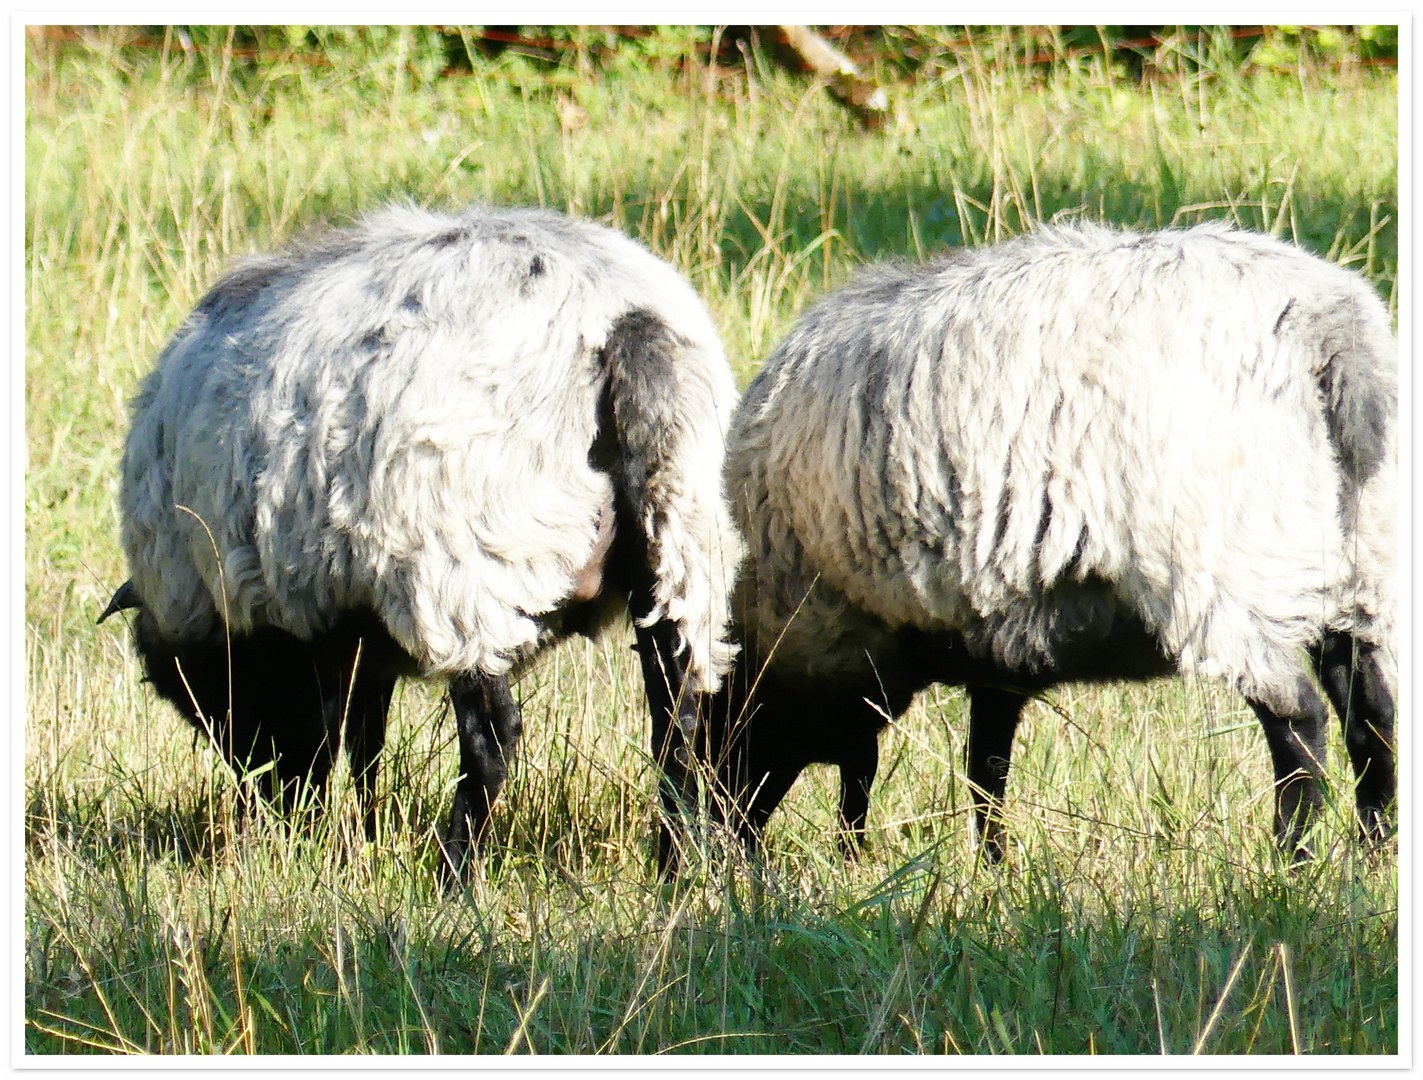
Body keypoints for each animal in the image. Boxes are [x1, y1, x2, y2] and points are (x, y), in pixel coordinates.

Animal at [97, 202, 745, 876]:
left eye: (218, 703)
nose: (280, 802)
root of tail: (620, 319)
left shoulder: (320, 624)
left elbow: (350, 728)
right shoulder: (358, 627)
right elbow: (366, 739)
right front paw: (364, 833)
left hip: (466, 571)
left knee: (494, 736)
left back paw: (455, 871)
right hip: (680, 543)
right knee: (677, 718)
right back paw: (672, 866)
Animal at [705, 219, 1394, 859]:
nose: (703, 854)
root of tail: (1329, 335)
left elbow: (877, 769)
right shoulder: (992, 643)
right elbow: (983, 765)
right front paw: (991, 869)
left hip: (1224, 570)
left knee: (1299, 719)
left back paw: (1292, 861)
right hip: (1354, 565)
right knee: (1372, 713)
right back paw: (1372, 853)